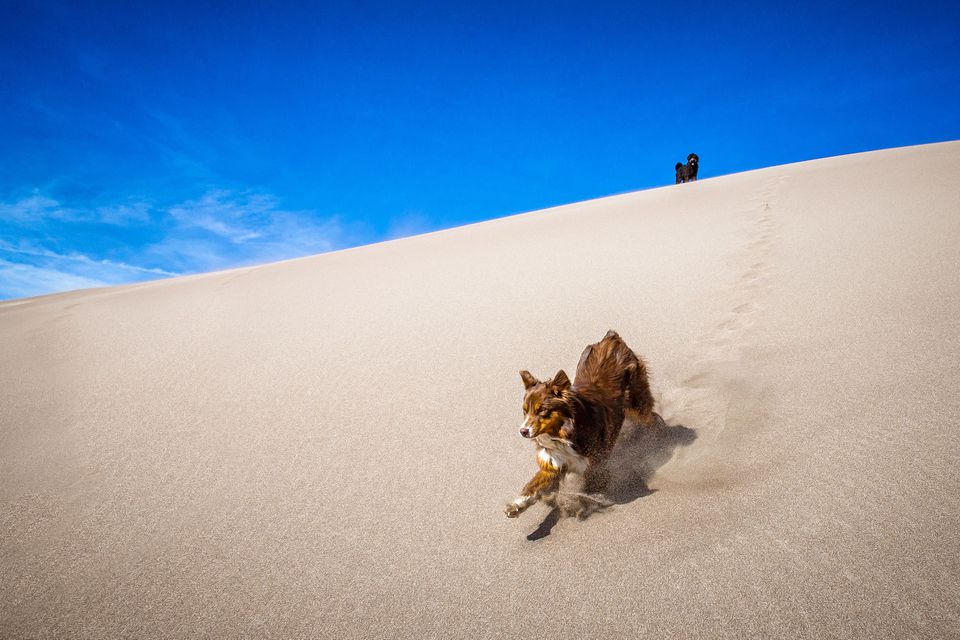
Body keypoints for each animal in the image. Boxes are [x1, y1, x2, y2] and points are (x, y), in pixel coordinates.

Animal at [502, 332, 652, 516]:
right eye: (525, 411)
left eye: (541, 410)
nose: (522, 431)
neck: (562, 435)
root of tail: (611, 337)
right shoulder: (554, 463)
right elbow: (534, 485)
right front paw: (516, 505)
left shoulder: (594, 464)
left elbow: (592, 486)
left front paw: (586, 501)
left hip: (638, 403)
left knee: (652, 417)